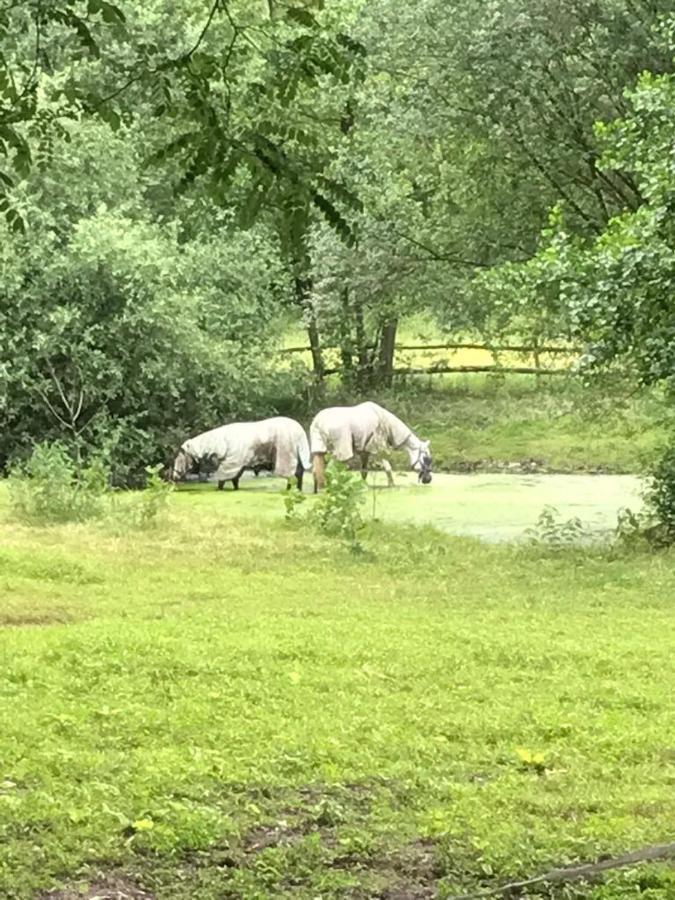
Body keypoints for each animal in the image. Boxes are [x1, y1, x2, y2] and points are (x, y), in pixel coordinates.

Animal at [173, 416, 312, 488]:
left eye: (179, 459)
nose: (173, 477)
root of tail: (300, 431)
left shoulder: (231, 463)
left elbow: (224, 478)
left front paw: (220, 488)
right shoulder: (237, 463)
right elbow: (235, 478)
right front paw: (235, 488)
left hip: (286, 455)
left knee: (292, 474)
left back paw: (290, 489)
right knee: (299, 473)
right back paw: (298, 490)